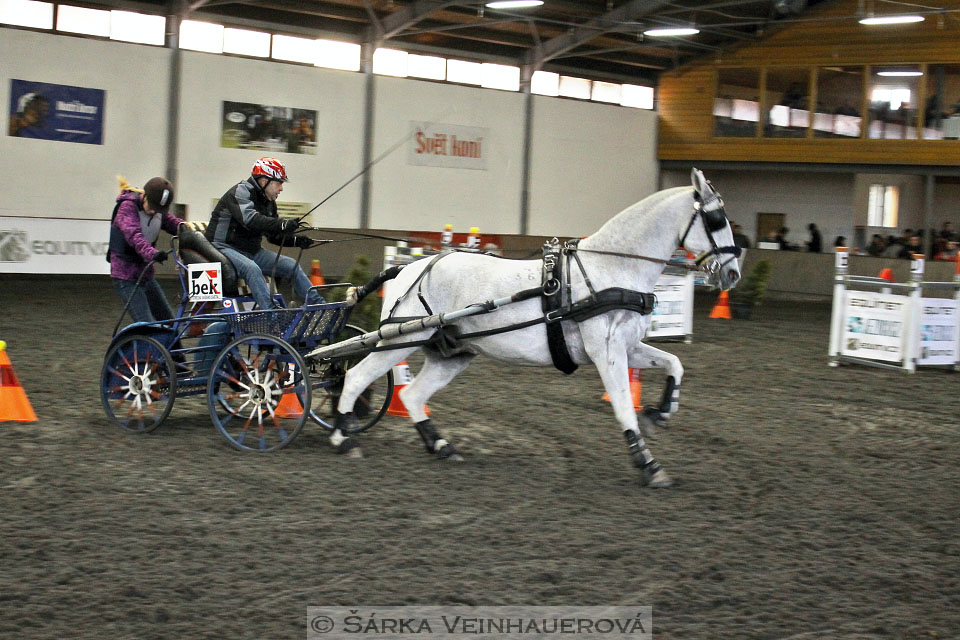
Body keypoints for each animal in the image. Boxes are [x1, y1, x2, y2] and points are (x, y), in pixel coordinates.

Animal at [326, 168, 740, 488]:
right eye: (716, 220)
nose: (733, 274)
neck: (612, 269)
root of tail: (407, 267)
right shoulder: (606, 351)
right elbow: (623, 404)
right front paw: (648, 464)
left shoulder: (628, 346)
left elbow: (674, 364)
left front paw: (659, 414)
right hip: (400, 340)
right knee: (356, 378)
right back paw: (343, 436)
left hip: (452, 353)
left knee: (412, 395)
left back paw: (441, 446)